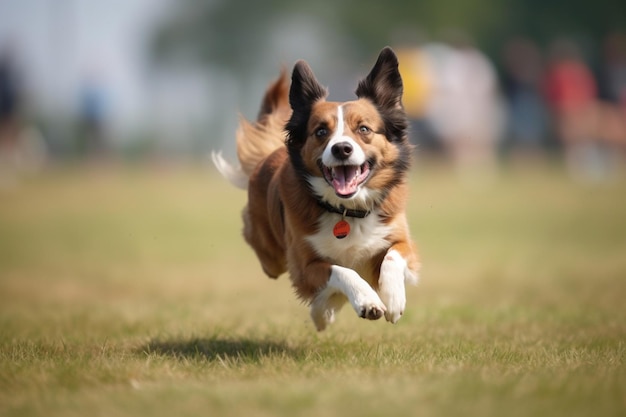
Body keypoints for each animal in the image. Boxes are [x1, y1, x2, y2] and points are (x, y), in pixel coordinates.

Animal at [211, 46, 420, 332]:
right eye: (321, 131)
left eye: (364, 129)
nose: (341, 148)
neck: (346, 210)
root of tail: (270, 154)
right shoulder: (303, 265)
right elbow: (342, 271)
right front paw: (365, 300)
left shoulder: (402, 241)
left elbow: (393, 256)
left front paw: (392, 297)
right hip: (272, 258)